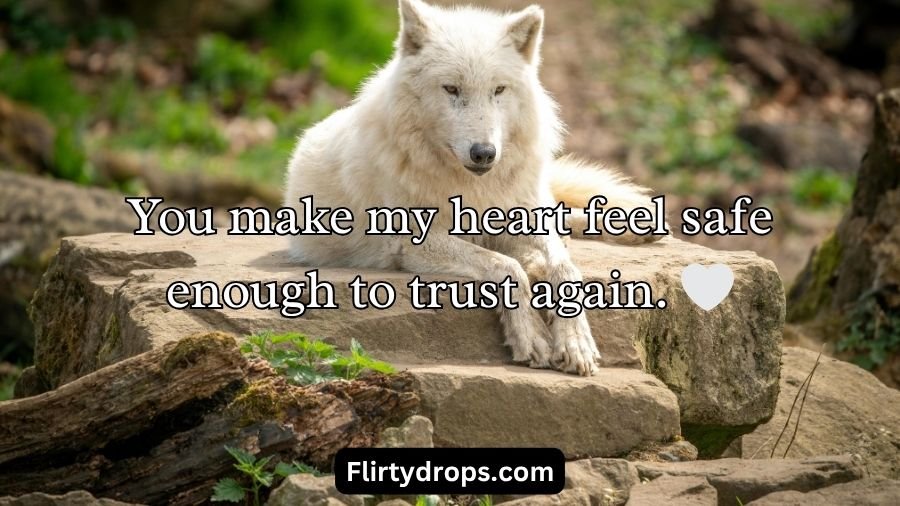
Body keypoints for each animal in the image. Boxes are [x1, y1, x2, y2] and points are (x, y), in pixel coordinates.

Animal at [284, 0, 663, 376]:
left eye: (498, 90)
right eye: (451, 89)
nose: (484, 153)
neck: (473, 188)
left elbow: (563, 268)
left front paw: (576, 343)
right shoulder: (413, 243)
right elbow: (507, 268)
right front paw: (531, 337)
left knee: (558, 221)